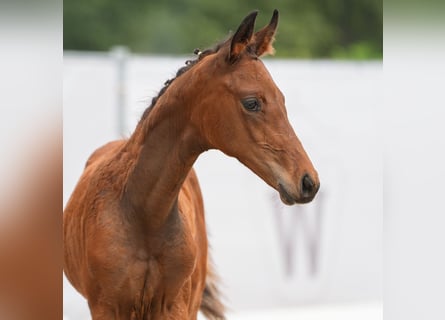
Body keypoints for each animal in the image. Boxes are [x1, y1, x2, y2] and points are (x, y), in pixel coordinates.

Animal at [63, 10, 320, 320]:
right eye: (251, 103)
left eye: (281, 99)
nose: (308, 181)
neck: (143, 214)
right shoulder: (107, 306)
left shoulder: (174, 305)